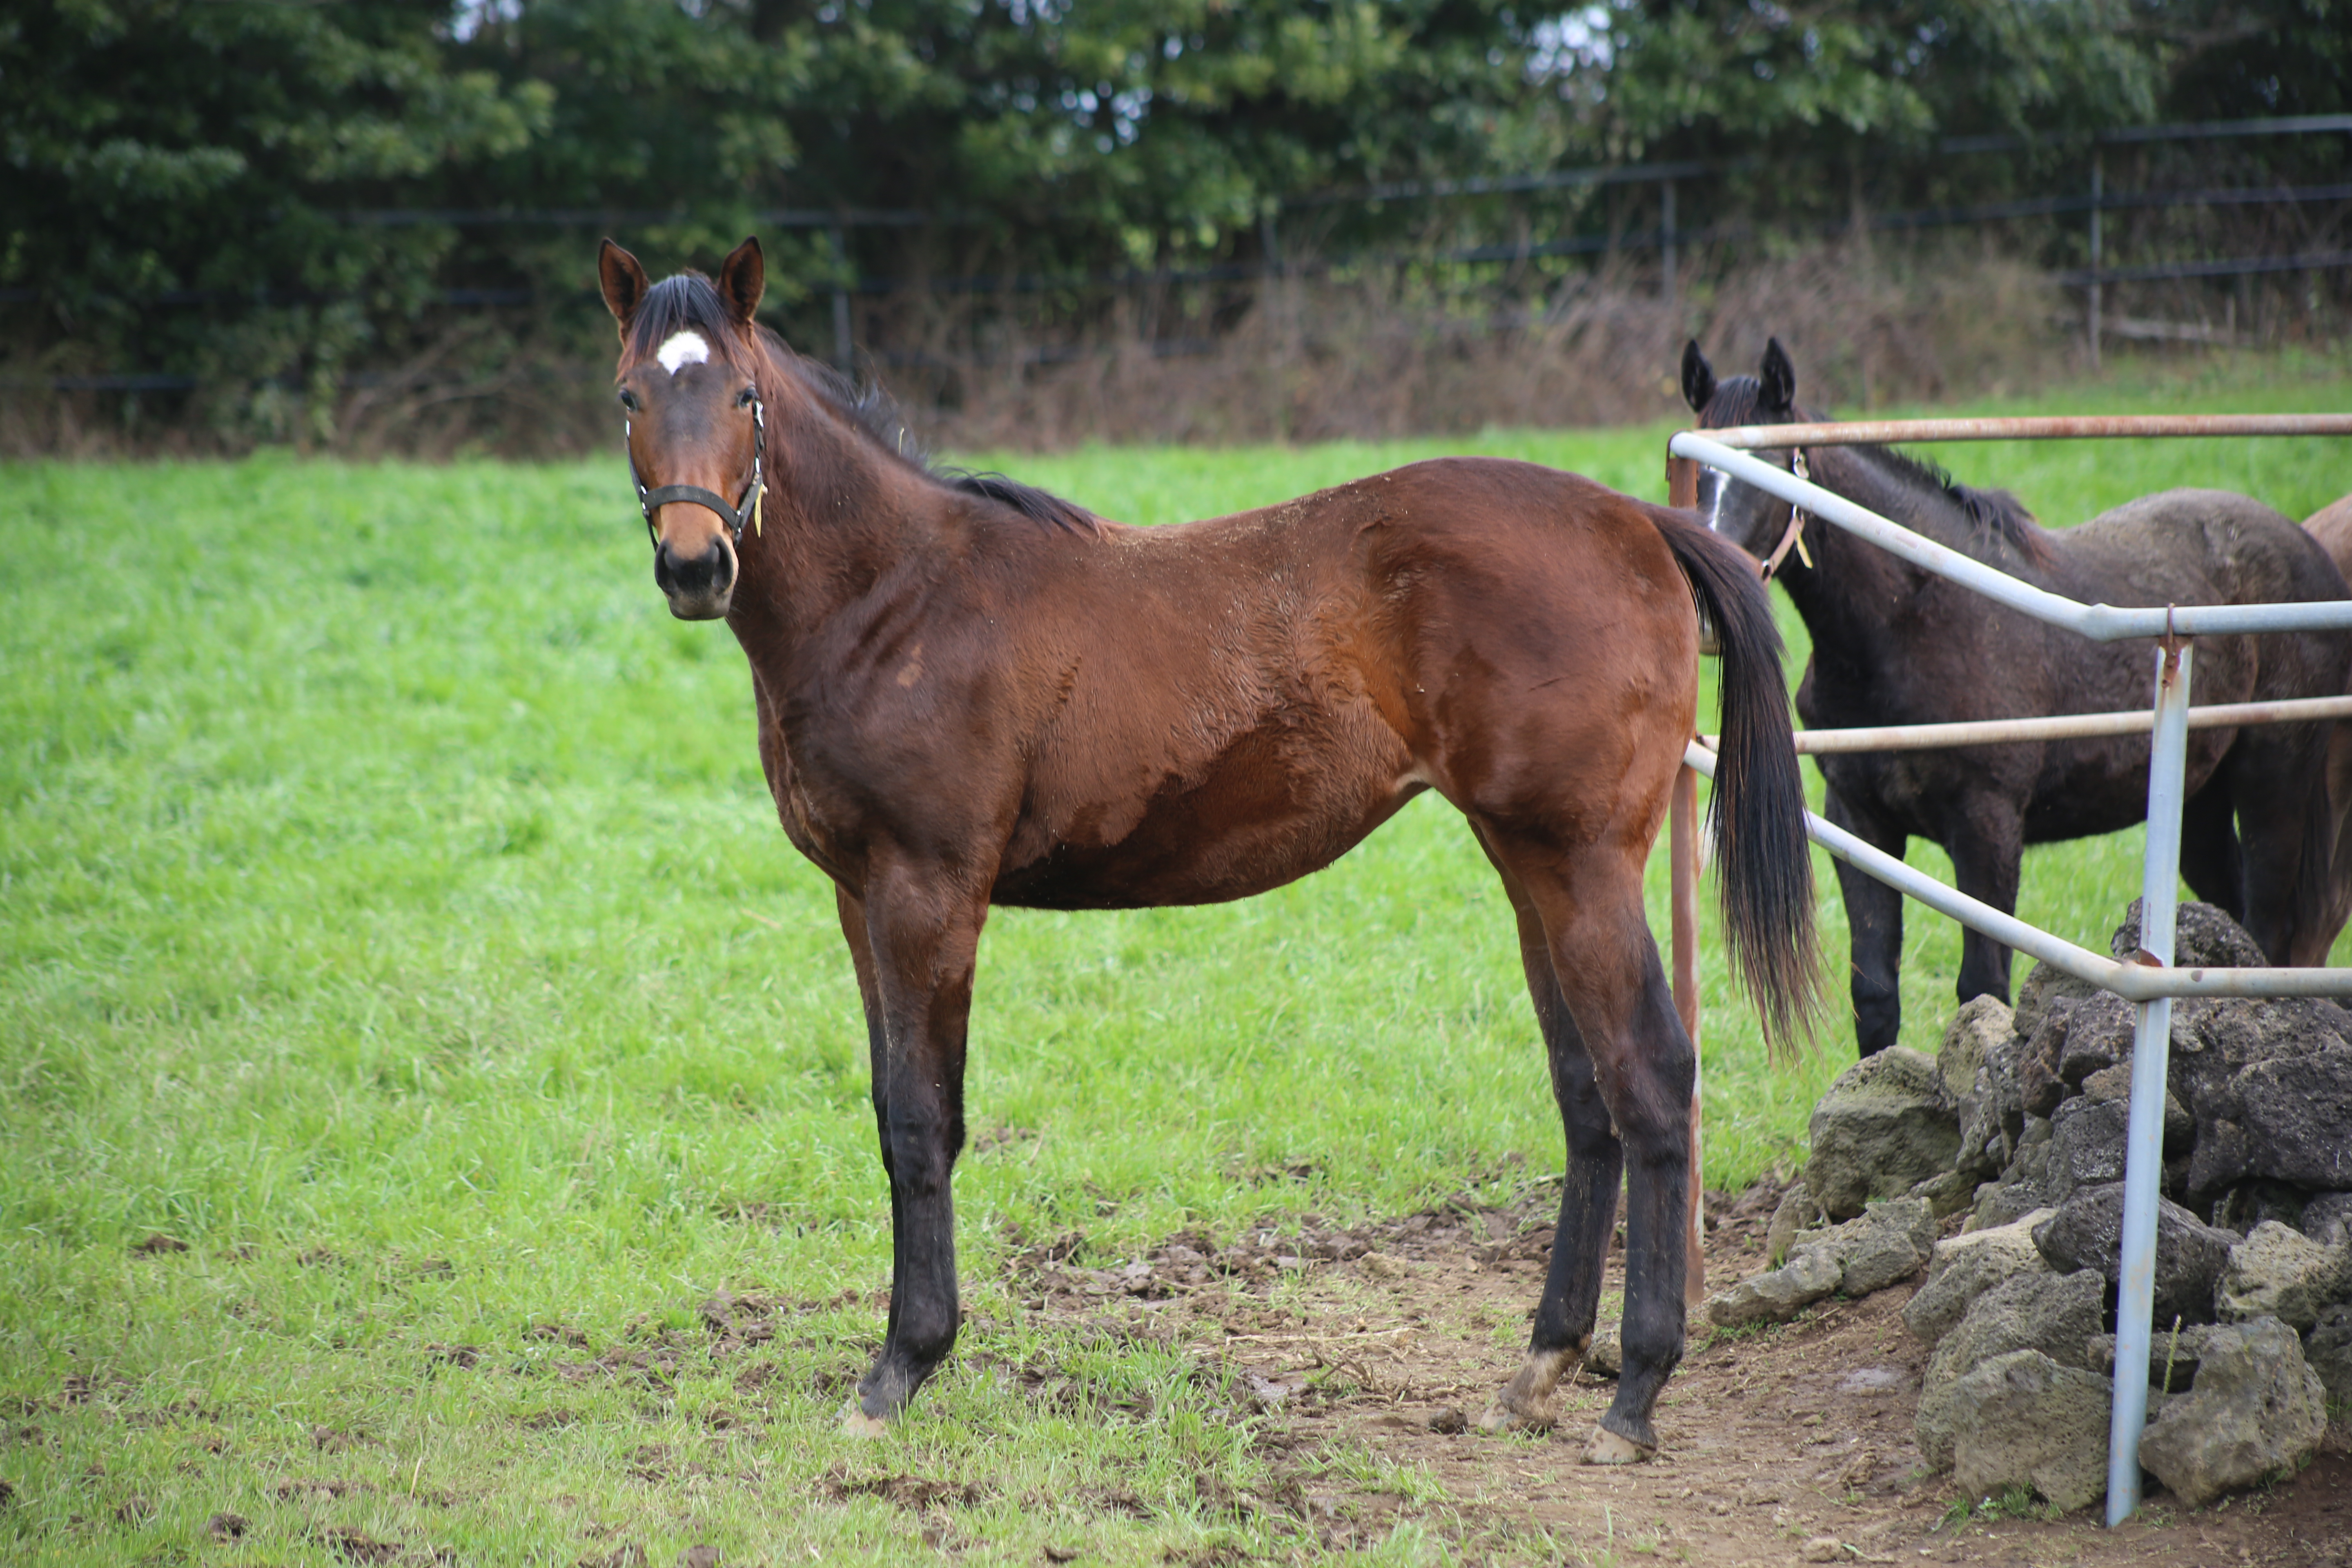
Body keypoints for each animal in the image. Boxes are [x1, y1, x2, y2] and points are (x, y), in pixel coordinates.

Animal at [583, 240, 1815, 1467]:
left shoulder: (927, 893)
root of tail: (1638, 523)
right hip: (1529, 870)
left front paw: (901, 1368)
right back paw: (1541, 1365)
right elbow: (893, 1111)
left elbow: (926, 1121)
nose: (693, 567)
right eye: (630, 396)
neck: (896, 599)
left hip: (1581, 865)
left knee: (1651, 1075)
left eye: (743, 397)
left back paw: (1635, 1391)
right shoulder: (859, 899)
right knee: (1585, 1089)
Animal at [1684, 339, 2342, 1062]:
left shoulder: (1988, 824)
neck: (1915, 620)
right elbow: (1875, 993)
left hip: (2273, 783)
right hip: (2198, 802)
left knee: (2271, 928)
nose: (1710, 612)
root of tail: (2309, 547)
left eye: (1776, 468)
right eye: (1692, 473)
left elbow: (1982, 989)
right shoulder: (1859, 820)